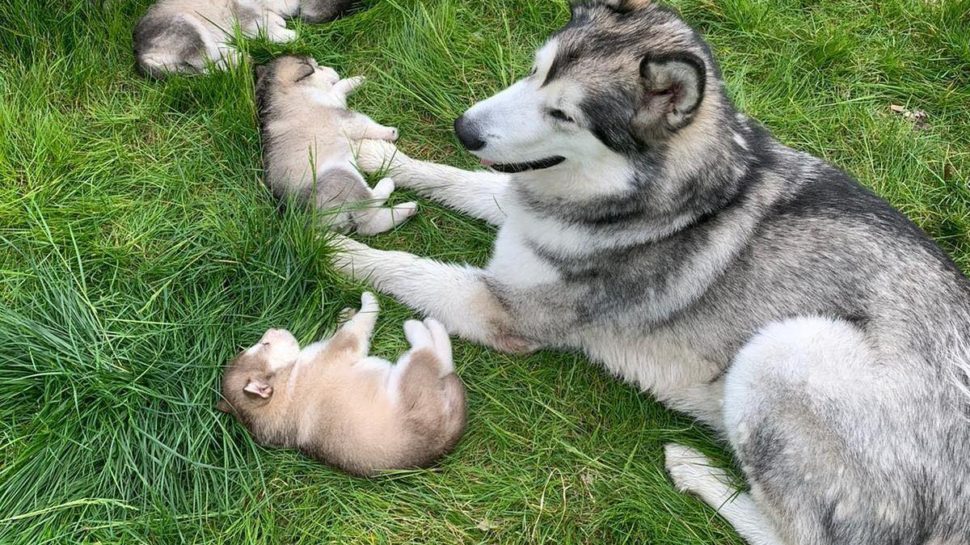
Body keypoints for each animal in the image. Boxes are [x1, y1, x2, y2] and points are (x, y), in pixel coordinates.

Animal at [217, 292, 466, 474]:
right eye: (265, 344)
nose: (273, 328)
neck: (287, 384)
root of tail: (444, 440)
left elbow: (344, 325)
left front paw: (345, 314)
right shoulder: (341, 346)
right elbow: (359, 323)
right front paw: (368, 300)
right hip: (411, 374)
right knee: (435, 356)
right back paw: (422, 326)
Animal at [253, 55, 416, 234]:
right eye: (318, 67)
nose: (333, 69)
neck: (281, 92)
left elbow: (338, 87)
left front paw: (356, 79)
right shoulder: (344, 116)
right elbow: (364, 123)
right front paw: (389, 132)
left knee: (368, 225)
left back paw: (407, 209)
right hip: (342, 177)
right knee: (368, 208)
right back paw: (388, 186)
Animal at [334, 1, 968, 544]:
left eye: (563, 113)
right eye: (533, 72)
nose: (464, 129)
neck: (661, 201)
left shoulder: (506, 311)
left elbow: (406, 268)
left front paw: (333, 248)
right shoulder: (519, 214)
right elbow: (457, 180)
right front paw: (377, 156)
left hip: (785, 350)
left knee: (798, 536)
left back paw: (698, 470)